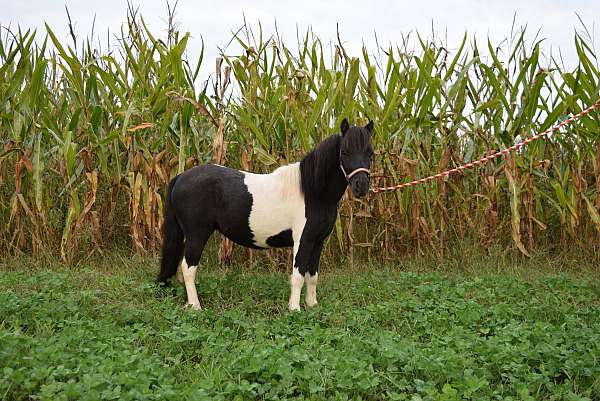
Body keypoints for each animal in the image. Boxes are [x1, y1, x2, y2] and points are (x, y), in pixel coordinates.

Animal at [158, 119, 376, 310]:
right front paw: (294, 308)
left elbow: (312, 275)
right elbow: (298, 275)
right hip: (197, 234)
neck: (313, 192)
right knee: (188, 268)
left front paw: (312, 305)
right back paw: (195, 306)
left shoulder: (318, 240)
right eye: (345, 152)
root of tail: (180, 177)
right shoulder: (303, 239)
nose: (361, 186)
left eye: (370, 153)